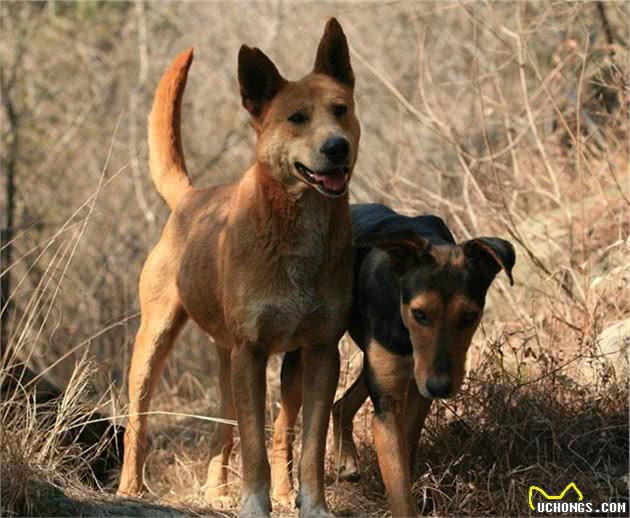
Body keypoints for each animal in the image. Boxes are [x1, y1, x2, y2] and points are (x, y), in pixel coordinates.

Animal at [114, 18, 360, 516]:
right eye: (297, 118)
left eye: (341, 110)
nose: (337, 147)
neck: (296, 229)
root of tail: (189, 198)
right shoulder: (252, 352)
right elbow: (253, 447)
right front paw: (254, 504)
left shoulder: (321, 352)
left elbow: (307, 444)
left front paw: (313, 505)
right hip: (156, 343)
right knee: (139, 421)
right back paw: (131, 488)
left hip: (247, 362)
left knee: (247, 431)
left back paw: (226, 492)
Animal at [274, 203, 516, 516]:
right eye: (419, 313)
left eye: (469, 317)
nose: (440, 387)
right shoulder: (388, 404)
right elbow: (398, 482)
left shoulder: (416, 390)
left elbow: (406, 447)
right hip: (310, 352)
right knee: (282, 423)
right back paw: (282, 491)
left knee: (342, 403)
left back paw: (346, 459)